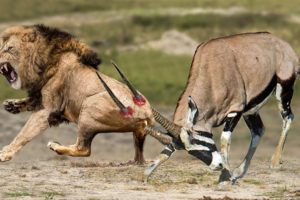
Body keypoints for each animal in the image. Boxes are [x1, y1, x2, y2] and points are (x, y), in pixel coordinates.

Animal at [0, 24, 154, 163]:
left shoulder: (48, 110)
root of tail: (148, 115)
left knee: (84, 149)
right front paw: (11, 105)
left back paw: (56, 146)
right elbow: (30, 101)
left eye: (9, 49)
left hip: (89, 105)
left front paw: (5, 153)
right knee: (139, 157)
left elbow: (24, 133)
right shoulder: (39, 95)